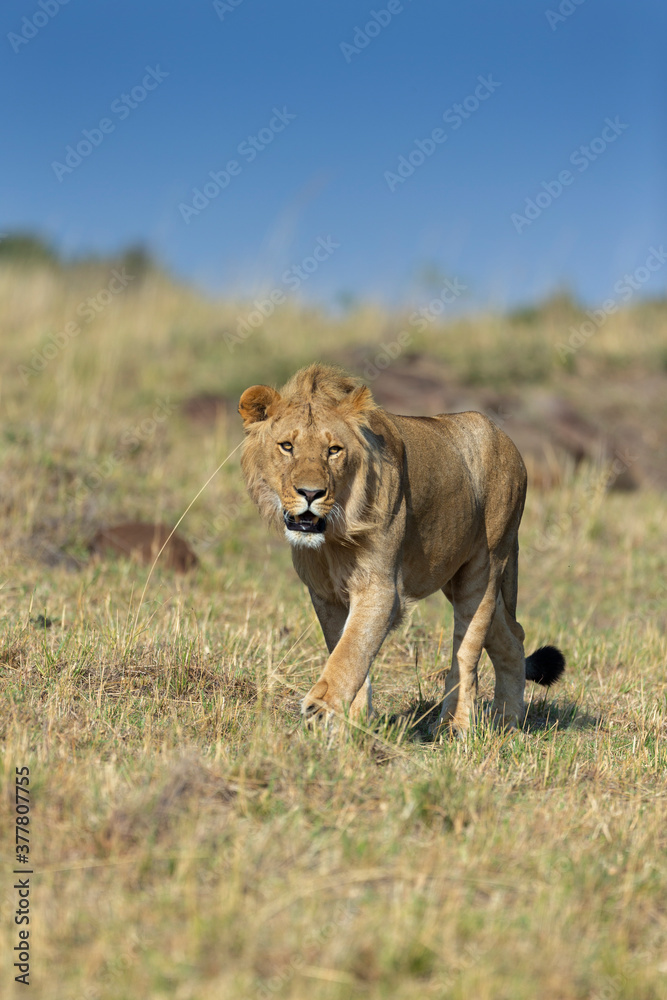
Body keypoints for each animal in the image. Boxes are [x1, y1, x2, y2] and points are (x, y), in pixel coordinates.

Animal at [239, 363, 564, 732]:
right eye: (287, 446)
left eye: (334, 450)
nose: (310, 493)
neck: (332, 539)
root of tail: (505, 438)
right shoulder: (323, 593)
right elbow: (347, 647)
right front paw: (353, 723)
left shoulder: (380, 587)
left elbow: (351, 650)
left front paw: (322, 709)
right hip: (463, 579)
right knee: (513, 637)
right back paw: (508, 722)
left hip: (485, 568)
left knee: (467, 651)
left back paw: (455, 726)